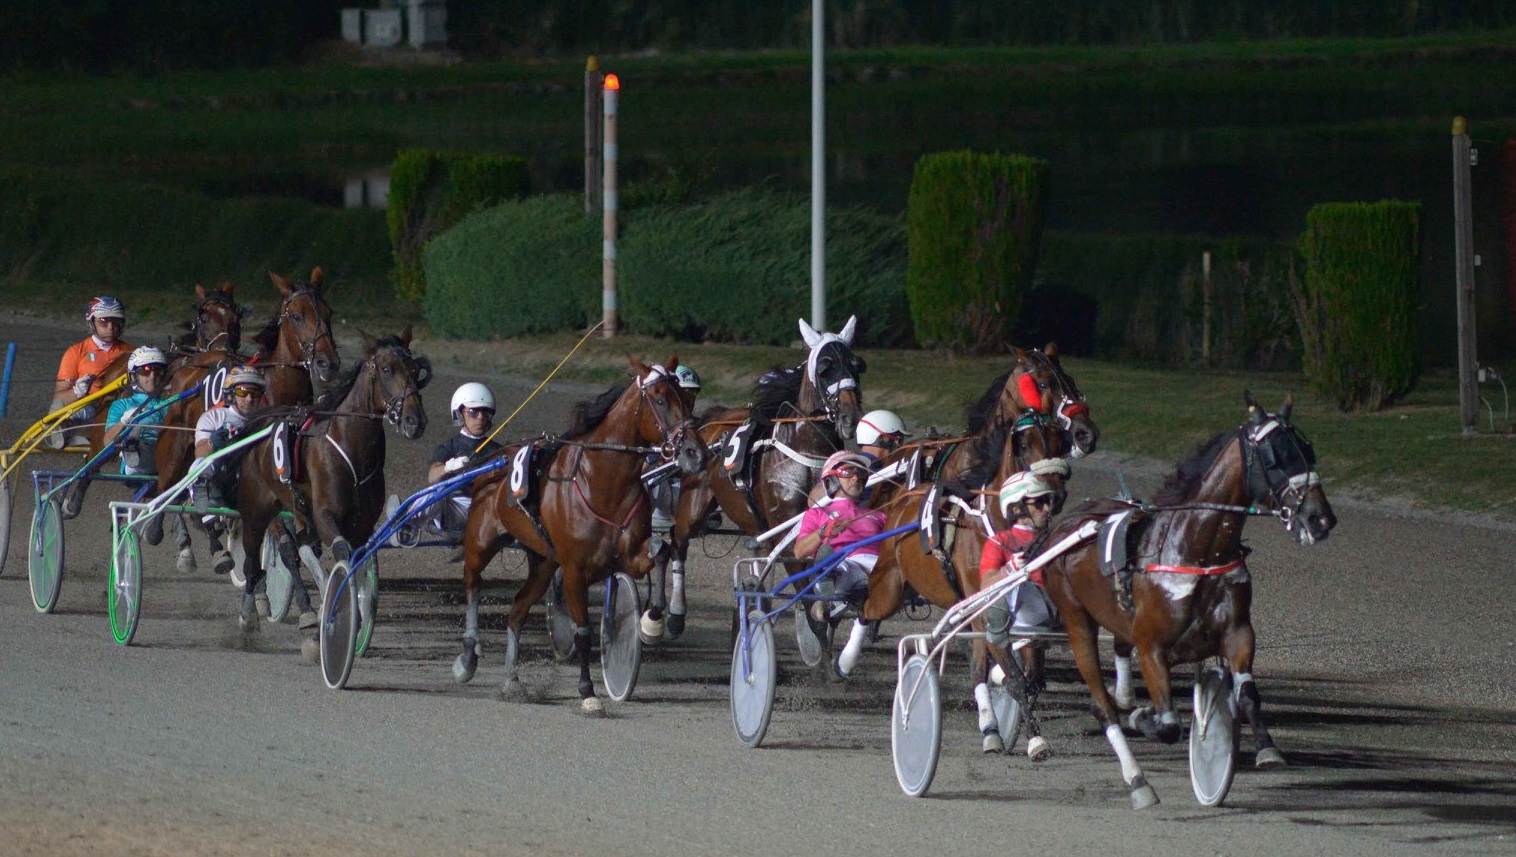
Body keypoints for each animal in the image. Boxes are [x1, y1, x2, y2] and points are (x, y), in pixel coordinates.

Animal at [233, 330, 430, 630]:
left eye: (415, 369)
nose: (414, 421)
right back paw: (249, 612)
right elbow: (340, 552)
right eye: (386, 369)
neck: (352, 448)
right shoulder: (326, 515)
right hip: (257, 510)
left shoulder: (362, 525)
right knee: (254, 562)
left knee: (302, 544)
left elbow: (355, 562)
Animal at [451, 357, 706, 712]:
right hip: (480, 541)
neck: (603, 481)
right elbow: (583, 632)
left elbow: (662, 553)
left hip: (543, 563)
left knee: (517, 610)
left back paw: (512, 680)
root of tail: (493, 461)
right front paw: (588, 692)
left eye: (685, 399)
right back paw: (467, 658)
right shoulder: (574, 569)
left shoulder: (627, 554)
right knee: (472, 583)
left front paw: (653, 621)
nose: (696, 452)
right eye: (659, 400)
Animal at [636, 317, 867, 637]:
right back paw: (669, 614)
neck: (806, 449)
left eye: (857, 366)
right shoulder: (785, 525)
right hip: (693, 503)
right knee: (675, 543)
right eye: (825, 368)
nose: (849, 414)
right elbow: (804, 586)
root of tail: (709, 421)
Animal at [1036, 391, 1334, 806]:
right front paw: (1145, 719)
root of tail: (1066, 524)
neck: (1195, 549)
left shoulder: (1238, 631)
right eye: (1275, 456)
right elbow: (1168, 726)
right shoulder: (1152, 646)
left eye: (1307, 449)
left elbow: (1246, 695)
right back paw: (1138, 779)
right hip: (1077, 620)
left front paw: (1266, 749)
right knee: (1103, 707)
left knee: (1119, 668)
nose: (1321, 518)